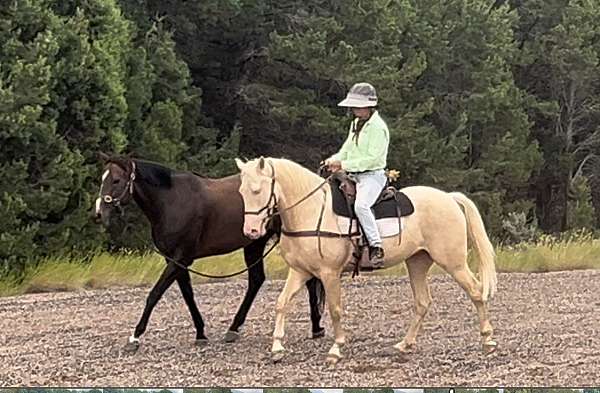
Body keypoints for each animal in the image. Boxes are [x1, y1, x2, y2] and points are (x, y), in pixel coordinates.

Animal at [95, 154, 326, 350]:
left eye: (116, 180)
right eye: (103, 179)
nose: (98, 213)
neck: (171, 200)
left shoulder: (180, 258)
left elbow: (154, 294)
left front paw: (134, 337)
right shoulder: (177, 261)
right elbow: (188, 295)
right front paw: (200, 333)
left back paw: (316, 328)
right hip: (254, 243)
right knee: (257, 280)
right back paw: (234, 328)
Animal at [236, 155, 496, 362]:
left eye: (257, 190)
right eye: (241, 192)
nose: (250, 231)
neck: (311, 211)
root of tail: (449, 198)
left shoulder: (329, 274)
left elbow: (335, 309)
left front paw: (336, 349)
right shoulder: (300, 271)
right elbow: (281, 303)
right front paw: (277, 348)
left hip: (454, 263)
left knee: (476, 292)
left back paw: (488, 341)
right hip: (417, 262)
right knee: (423, 302)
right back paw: (404, 344)